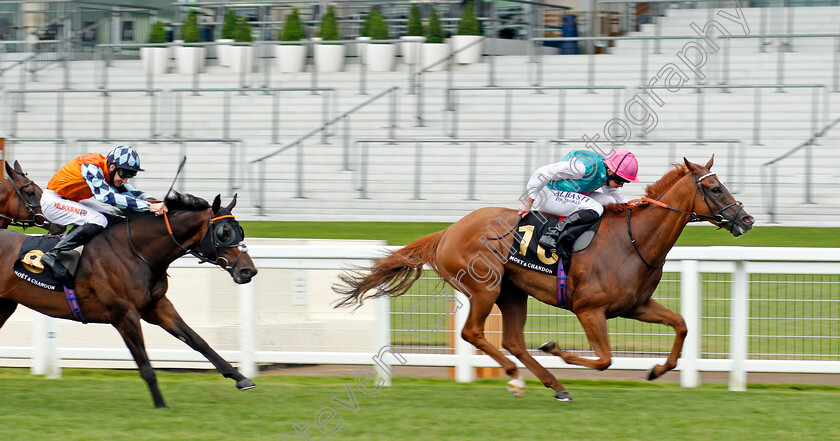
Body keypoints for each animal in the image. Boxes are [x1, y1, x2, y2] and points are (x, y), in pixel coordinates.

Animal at [0, 191, 258, 408]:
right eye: (224, 233)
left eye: (241, 231)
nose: (248, 271)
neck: (135, 252)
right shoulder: (125, 316)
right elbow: (145, 365)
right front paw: (161, 405)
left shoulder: (158, 306)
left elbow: (198, 340)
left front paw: (240, 377)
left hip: (5, 305)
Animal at [334, 156, 756, 400]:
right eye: (715, 188)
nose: (747, 219)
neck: (634, 239)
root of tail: (449, 231)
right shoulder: (589, 309)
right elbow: (604, 359)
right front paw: (557, 348)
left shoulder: (635, 306)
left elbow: (681, 325)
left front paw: (657, 369)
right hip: (485, 287)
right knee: (473, 333)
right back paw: (516, 377)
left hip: (512, 292)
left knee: (513, 341)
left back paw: (554, 385)